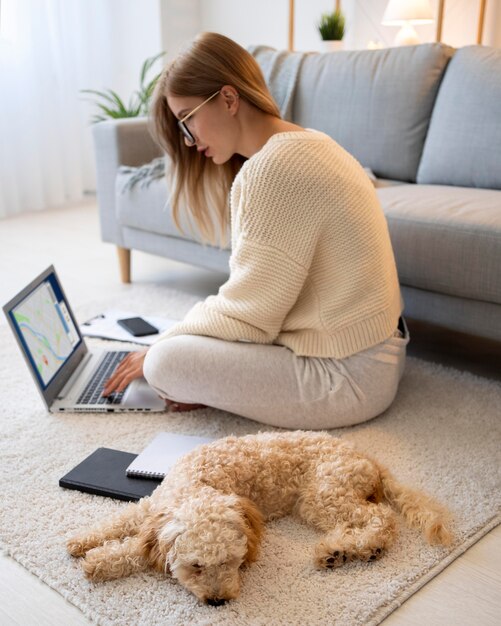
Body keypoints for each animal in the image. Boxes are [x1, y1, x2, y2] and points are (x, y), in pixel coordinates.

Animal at [65, 432, 450, 604]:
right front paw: (82, 542)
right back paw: (343, 550)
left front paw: (99, 562)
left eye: (231, 562)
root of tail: (367, 458)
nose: (218, 601)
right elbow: (120, 522)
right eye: (196, 566)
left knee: (381, 518)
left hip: (323, 496)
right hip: (324, 500)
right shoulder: (152, 508)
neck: (197, 483)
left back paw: (348, 550)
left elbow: (135, 550)